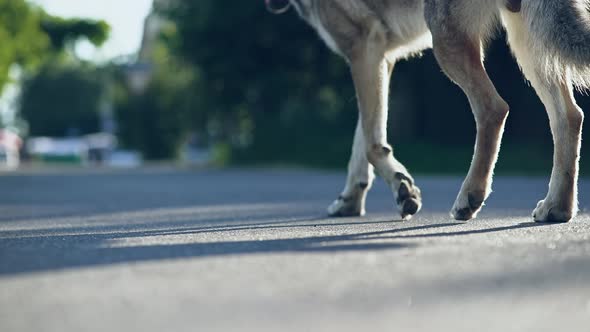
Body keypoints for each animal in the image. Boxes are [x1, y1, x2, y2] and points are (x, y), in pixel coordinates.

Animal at [268, 0, 588, 223]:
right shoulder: (380, 59)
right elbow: (363, 141)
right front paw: (350, 201)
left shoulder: (364, 48)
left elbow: (371, 145)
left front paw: (403, 191)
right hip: (528, 45)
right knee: (570, 116)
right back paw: (557, 208)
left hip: (447, 44)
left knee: (494, 108)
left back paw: (470, 197)